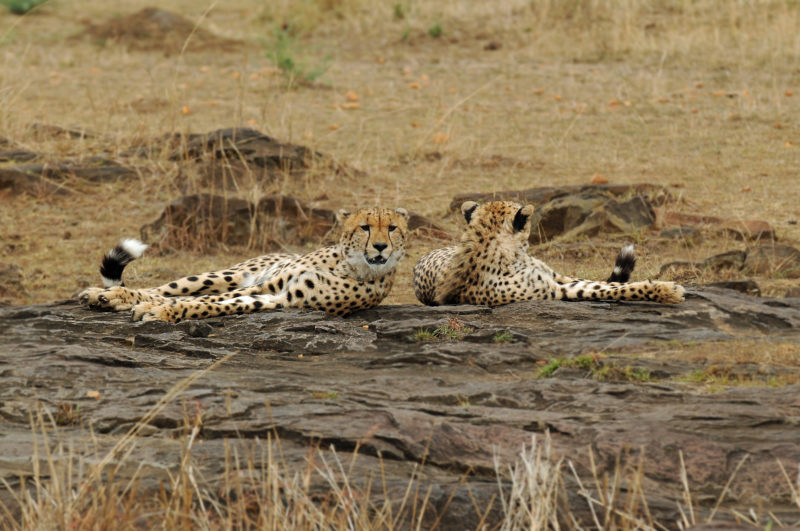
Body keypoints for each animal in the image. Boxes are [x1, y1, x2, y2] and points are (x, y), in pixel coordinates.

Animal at [79, 208, 410, 324]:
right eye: (365, 227)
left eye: (392, 228)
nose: (381, 247)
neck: (349, 266)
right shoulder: (268, 284)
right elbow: (198, 299)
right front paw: (151, 306)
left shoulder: (282, 299)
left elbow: (208, 305)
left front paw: (161, 312)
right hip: (225, 274)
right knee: (164, 288)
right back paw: (105, 295)